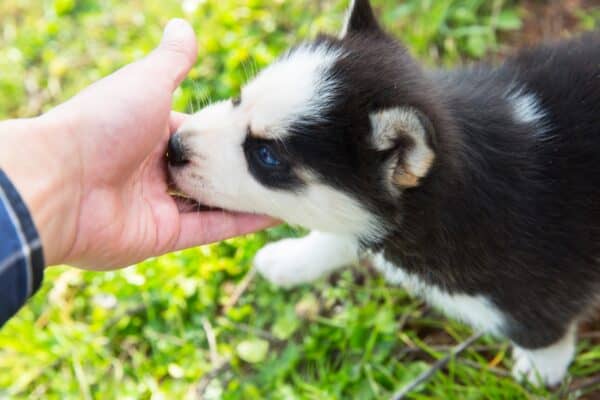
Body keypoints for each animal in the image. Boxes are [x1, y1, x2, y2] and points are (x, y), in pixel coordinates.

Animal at [168, 0, 600, 388]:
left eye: (266, 156)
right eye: (238, 99)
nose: (172, 148)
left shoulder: (536, 295)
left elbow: (541, 333)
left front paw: (542, 370)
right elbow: (342, 236)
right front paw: (292, 259)